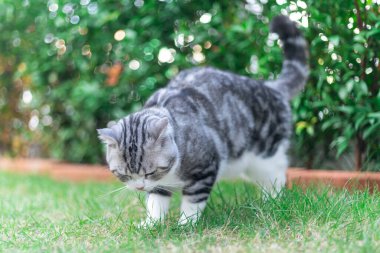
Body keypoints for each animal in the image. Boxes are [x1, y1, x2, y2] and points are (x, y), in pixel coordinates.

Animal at [96, 14, 308, 226]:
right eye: (123, 174)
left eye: (150, 172)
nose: (139, 187)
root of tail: (271, 88)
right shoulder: (159, 185)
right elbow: (156, 201)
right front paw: (151, 224)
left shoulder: (204, 169)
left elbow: (193, 200)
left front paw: (186, 224)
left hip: (265, 156)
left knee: (276, 175)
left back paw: (272, 201)